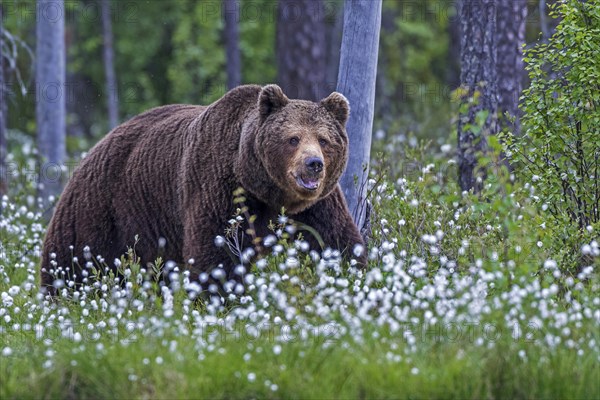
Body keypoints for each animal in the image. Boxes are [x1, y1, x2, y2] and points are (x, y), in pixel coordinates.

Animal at [41, 84, 366, 294]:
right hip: (100, 212)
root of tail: (92, 150)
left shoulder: (317, 206)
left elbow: (335, 240)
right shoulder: (220, 188)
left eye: (324, 139)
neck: (267, 191)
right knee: (75, 262)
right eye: (293, 138)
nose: (313, 164)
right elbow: (216, 253)